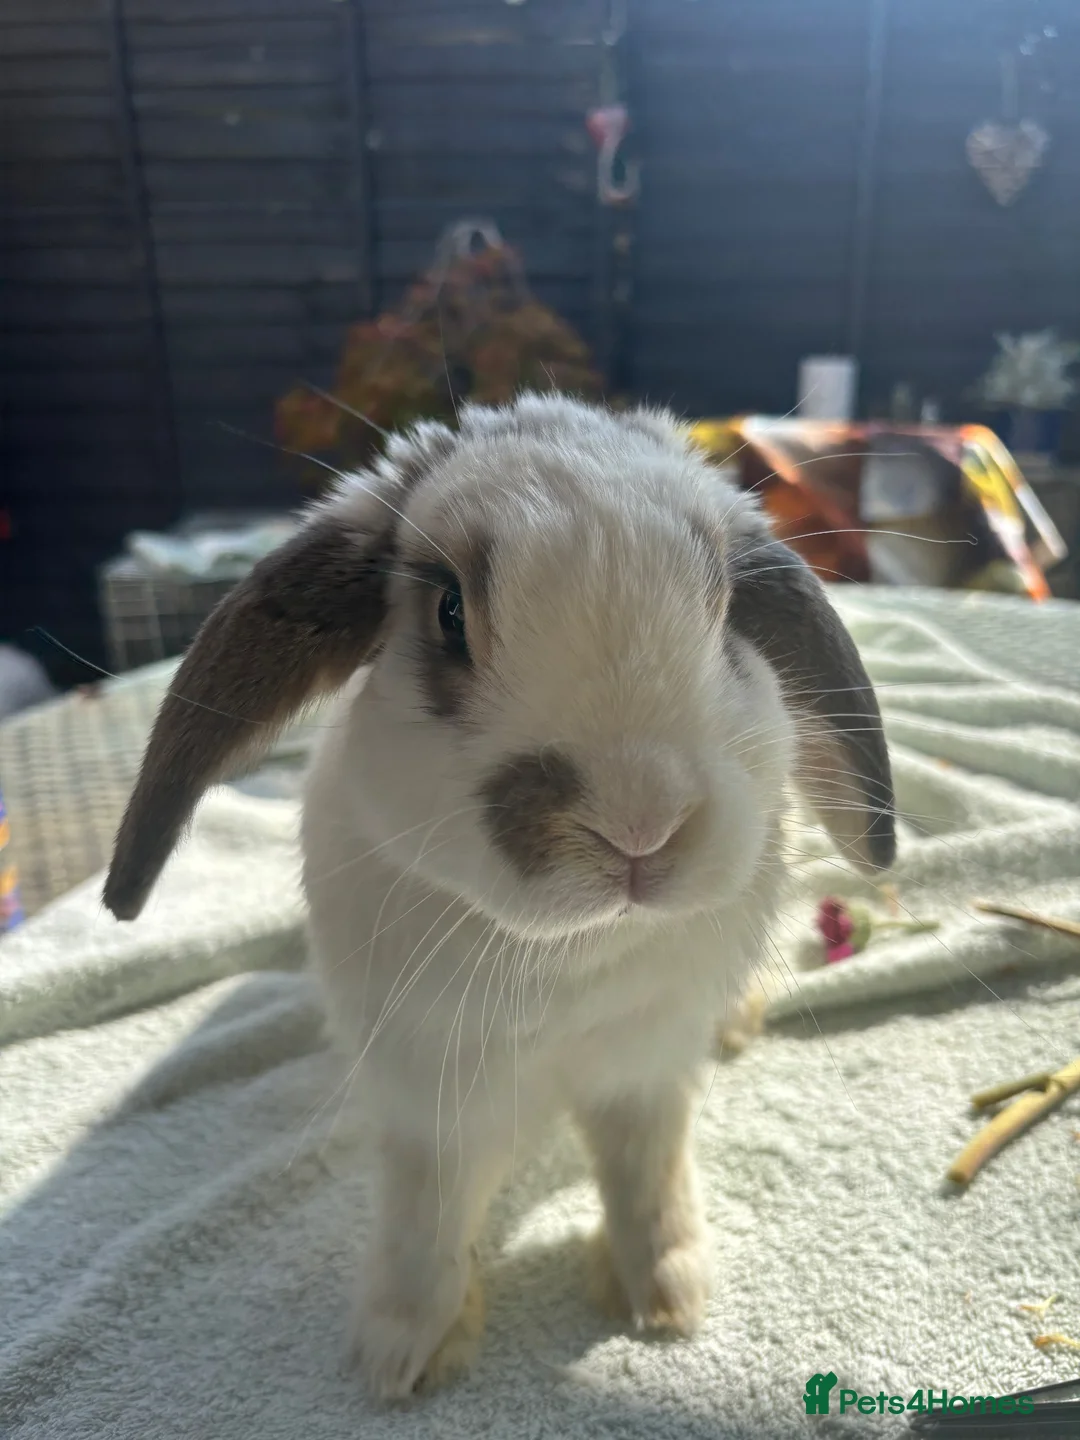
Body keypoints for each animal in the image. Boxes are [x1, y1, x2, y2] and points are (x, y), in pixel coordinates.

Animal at [103, 394, 894, 1401]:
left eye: (724, 612)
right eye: (449, 613)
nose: (640, 823)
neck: (564, 960)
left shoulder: (647, 1071)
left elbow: (647, 1176)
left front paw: (666, 1295)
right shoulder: (426, 1093)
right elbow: (428, 1217)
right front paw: (399, 1354)